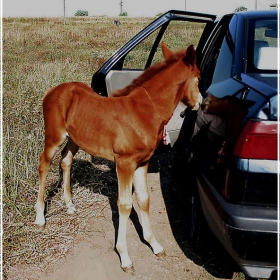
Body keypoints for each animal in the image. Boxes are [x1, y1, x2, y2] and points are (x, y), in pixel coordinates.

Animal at [35, 42, 201, 272]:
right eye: (199, 78)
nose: (200, 103)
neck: (145, 111)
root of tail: (52, 90)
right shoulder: (124, 163)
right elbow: (125, 204)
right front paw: (124, 256)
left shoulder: (142, 162)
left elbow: (144, 199)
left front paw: (155, 244)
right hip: (54, 136)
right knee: (44, 164)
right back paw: (40, 218)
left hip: (75, 139)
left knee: (66, 161)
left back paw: (69, 205)